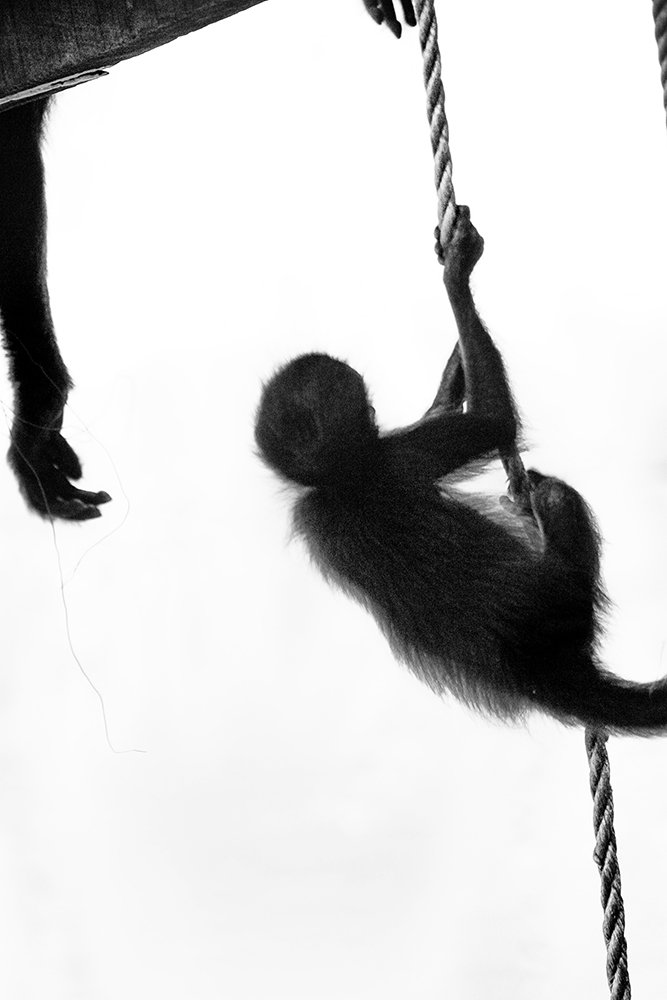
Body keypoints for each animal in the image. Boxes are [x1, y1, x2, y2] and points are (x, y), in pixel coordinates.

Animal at [255, 207, 667, 735]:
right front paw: (457, 277)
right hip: (569, 598)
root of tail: (544, 671)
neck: (338, 480)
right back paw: (536, 500)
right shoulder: (394, 458)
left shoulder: (311, 511)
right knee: (557, 496)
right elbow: (494, 419)